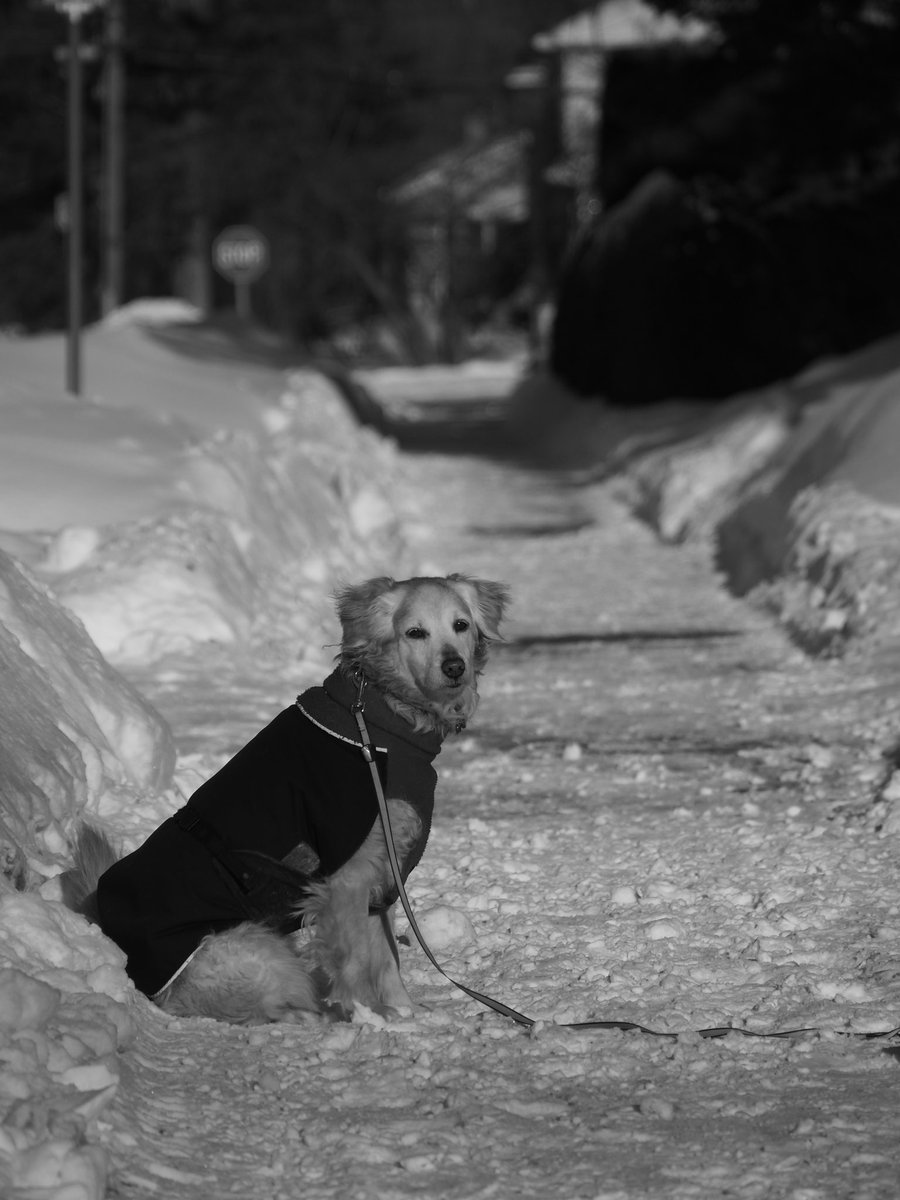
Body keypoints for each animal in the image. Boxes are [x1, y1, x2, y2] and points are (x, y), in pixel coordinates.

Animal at [61, 576, 513, 1027]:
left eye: (460, 625)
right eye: (415, 632)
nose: (454, 667)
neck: (379, 719)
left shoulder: (383, 870)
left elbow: (387, 959)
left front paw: (404, 1013)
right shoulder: (346, 877)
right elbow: (354, 961)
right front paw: (366, 1017)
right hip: (257, 949)